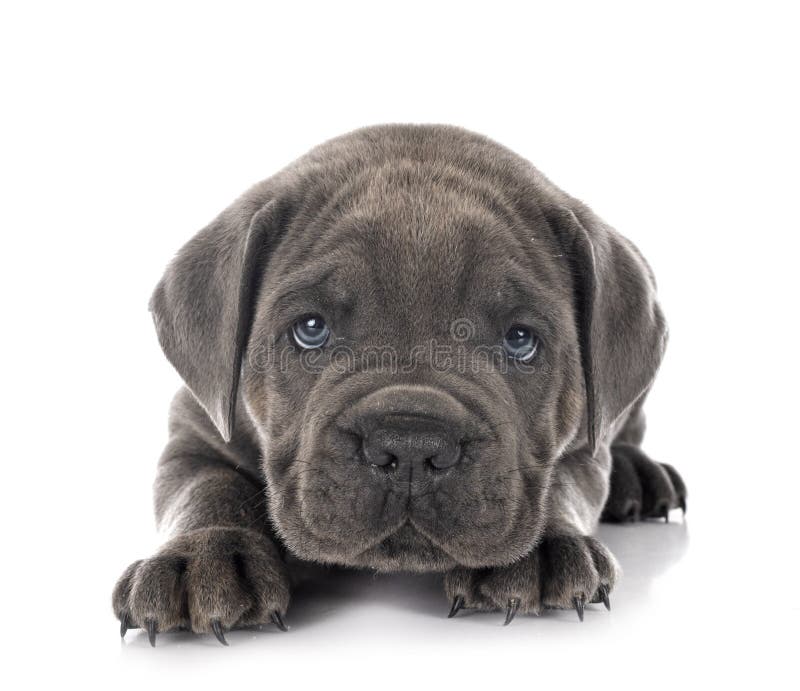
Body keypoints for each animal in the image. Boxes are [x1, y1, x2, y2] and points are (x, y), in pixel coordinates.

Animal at [114, 124, 688, 648]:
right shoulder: (197, 431)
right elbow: (207, 488)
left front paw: (543, 548)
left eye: (520, 339)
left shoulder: (583, 447)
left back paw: (640, 476)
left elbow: (560, 480)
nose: (411, 446)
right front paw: (203, 556)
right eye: (311, 328)